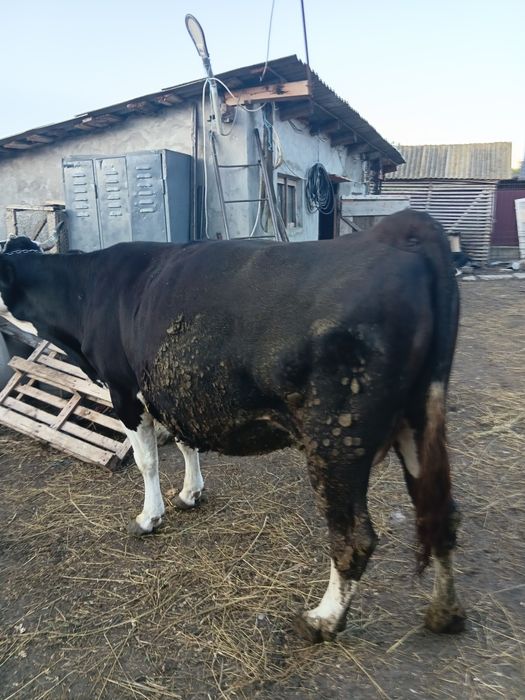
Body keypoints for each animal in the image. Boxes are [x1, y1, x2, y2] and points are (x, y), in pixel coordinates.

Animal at [0, 209, 465, 642]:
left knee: (354, 537)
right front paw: (191, 493)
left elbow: (147, 462)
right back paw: (445, 613)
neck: (86, 293)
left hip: (336, 439)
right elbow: (187, 444)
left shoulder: (124, 391)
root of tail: (396, 230)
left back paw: (322, 620)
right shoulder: (179, 389)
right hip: (420, 419)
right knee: (440, 513)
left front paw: (149, 518)